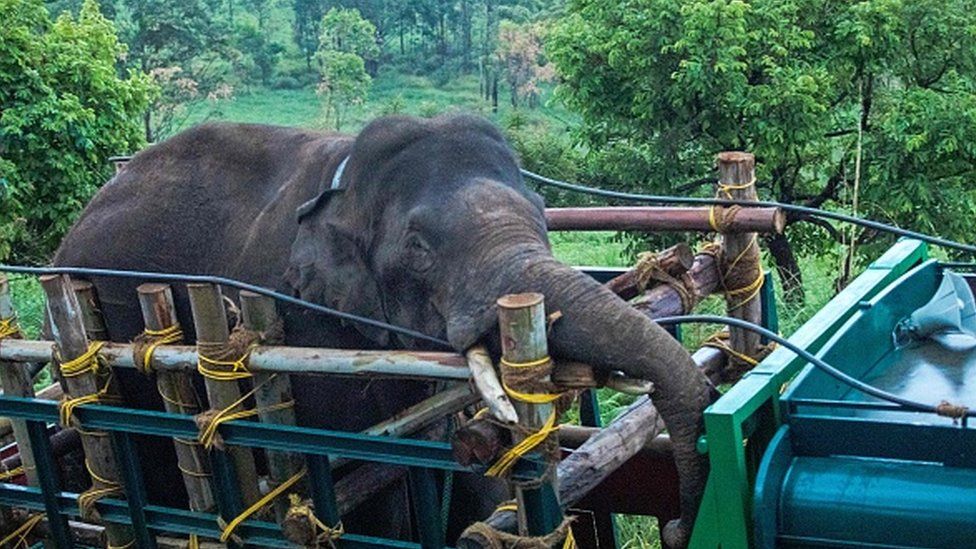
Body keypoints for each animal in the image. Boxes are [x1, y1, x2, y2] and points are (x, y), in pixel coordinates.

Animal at [53, 113, 708, 544]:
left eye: (545, 216)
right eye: (418, 249)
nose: (679, 528)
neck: (345, 183)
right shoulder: (307, 323)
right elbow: (366, 483)